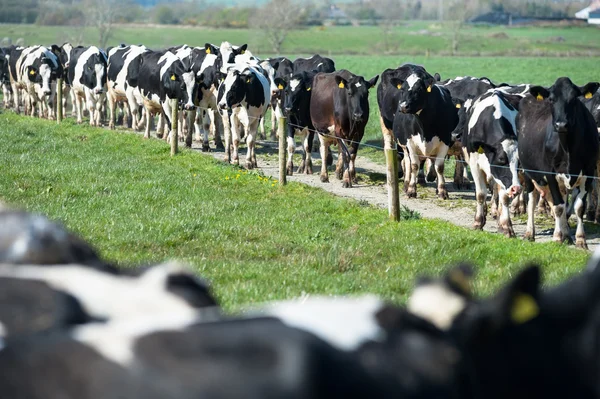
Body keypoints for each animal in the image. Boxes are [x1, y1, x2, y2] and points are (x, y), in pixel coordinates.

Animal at [392, 65, 458, 200]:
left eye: (418, 90)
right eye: (403, 90)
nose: (403, 106)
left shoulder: (445, 141)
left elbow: (439, 167)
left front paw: (442, 191)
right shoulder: (410, 142)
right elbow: (414, 165)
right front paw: (411, 190)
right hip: (404, 146)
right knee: (407, 162)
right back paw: (406, 184)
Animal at [462, 90, 524, 238]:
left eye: (519, 163)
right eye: (501, 160)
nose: (516, 189)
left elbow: (504, 198)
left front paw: (506, 226)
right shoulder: (474, 164)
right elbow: (480, 194)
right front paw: (478, 222)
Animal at [516, 77, 600, 247]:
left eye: (574, 99)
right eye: (551, 99)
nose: (561, 124)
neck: (568, 147)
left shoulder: (588, 172)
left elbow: (578, 207)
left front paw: (580, 239)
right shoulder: (550, 173)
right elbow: (559, 206)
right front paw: (557, 237)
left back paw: (566, 233)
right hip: (528, 171)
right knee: (532, 200)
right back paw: (530, 233)